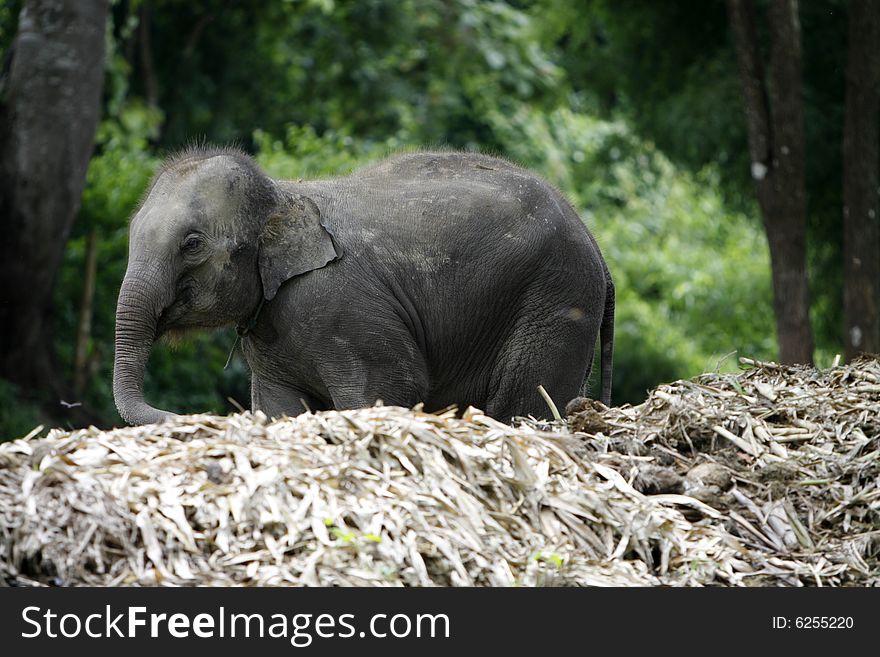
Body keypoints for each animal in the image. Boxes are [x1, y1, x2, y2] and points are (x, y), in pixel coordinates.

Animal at [113, 147, 616, 426]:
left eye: (192, 244)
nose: (182, 417)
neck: (282, 192)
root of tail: (595, 241)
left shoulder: (343, 312)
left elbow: (386, 388)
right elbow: (280, 406)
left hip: (556, 299)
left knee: (523, 403)